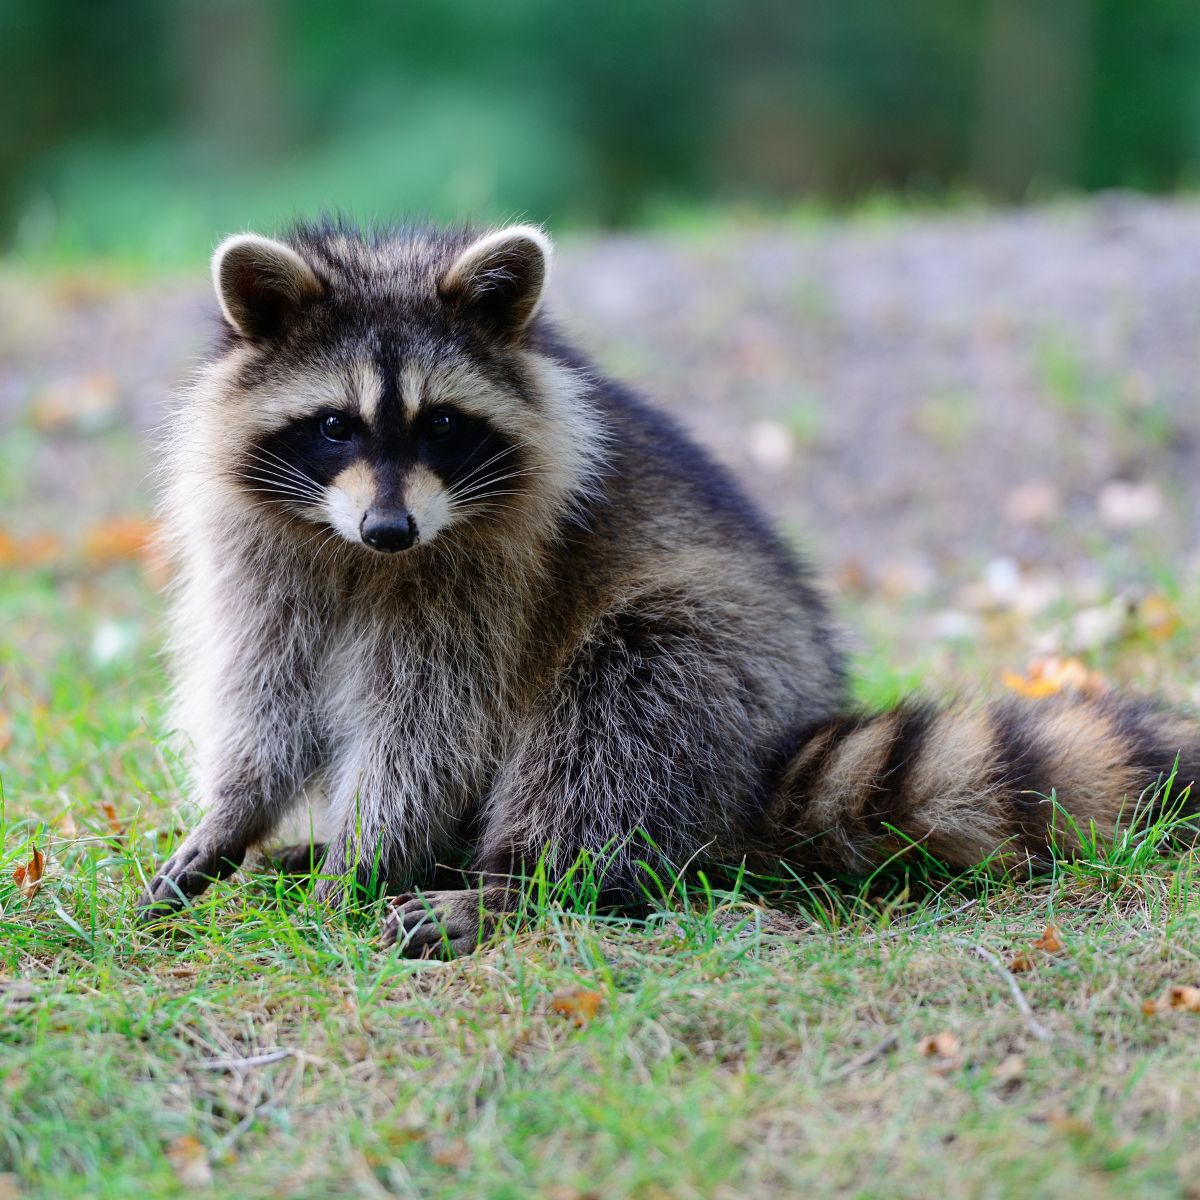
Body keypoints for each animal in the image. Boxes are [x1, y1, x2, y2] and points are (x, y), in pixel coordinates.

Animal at [142, 220, 1200, 955]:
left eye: (441, 423)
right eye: (335, 426)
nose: (392, 529)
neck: (358, 554)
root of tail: (776, 750)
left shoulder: (489, 577)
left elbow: (431, 727)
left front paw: (367, 857)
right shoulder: (263, 555)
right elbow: (266, 693)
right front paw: (237, 814)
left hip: (714, 664)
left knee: (620, 712)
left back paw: (519, 885)